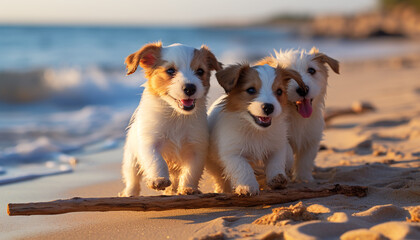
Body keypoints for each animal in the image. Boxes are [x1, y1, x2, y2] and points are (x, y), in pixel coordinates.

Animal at [118, 42, 221, 197]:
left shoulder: (197, 147)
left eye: (200, 71)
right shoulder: (149, 143)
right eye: (170, 71)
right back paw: (130, 193)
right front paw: (159, 179)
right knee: (132, 178)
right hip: (131, 159)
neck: (176, 116)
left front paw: (188, 188)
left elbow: (192, 171)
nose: (190, 88)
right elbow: (157, 160)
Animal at [206, 63, 306, 195]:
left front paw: (277, 178)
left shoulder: (277, 146)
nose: (268, 107)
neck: (256, 130)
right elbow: (243, 167)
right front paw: (248, 186)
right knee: (219, 177)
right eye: (251, 90)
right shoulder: (232, 153)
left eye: (279, 91)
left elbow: (276, 162)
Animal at [256, 47, 342, 182]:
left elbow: (305, 161)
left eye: (311, 70)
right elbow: (287, 149)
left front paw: (304, 179)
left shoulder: (311, 139)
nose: (303, 89)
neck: (296, 116)